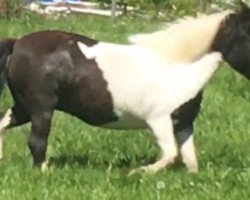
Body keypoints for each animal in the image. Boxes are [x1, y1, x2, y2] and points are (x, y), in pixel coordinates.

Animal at [0, 2, 248, 173]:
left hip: (25, 107)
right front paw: (137, 172)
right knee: (37, 141)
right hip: (41, 109)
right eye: (247, 35)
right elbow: (170, 154)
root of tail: (18, 42)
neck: (178, 68)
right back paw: (44, 172)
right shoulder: (158, 120)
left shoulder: (183, 124)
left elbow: (189, 159)